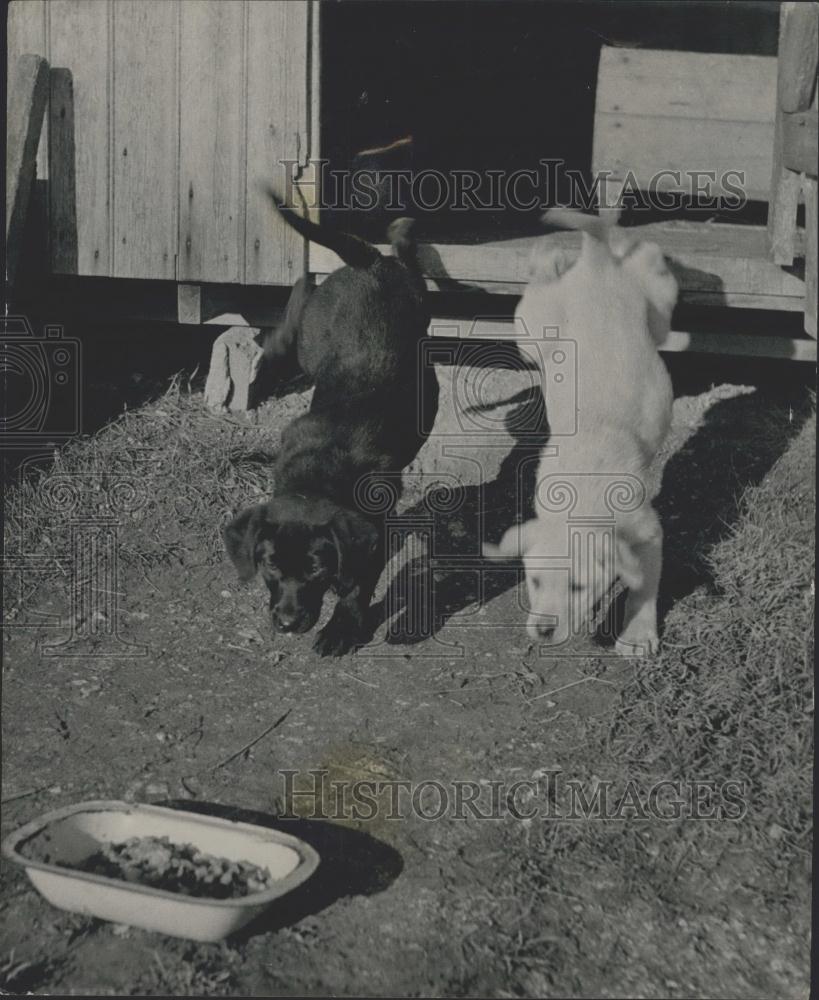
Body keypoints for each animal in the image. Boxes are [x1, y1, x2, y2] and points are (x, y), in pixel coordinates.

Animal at [221, 194, 438, 656]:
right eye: (269, 566)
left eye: (316, 569)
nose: (286, 623)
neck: (317, 474)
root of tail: (368, 264)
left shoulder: (373, 530)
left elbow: (359, 583)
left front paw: (342, 627)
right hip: (317, 342)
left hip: (411, 308)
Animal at [486, 209, 680, 656]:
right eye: (535, 581)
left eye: (578, 587)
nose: (543, 631)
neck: (583, 489)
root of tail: (596, 264)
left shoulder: (648, 531)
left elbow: (643, 585)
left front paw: (637, 634)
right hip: (533, 331)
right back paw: (549, 255)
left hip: (658, 305)